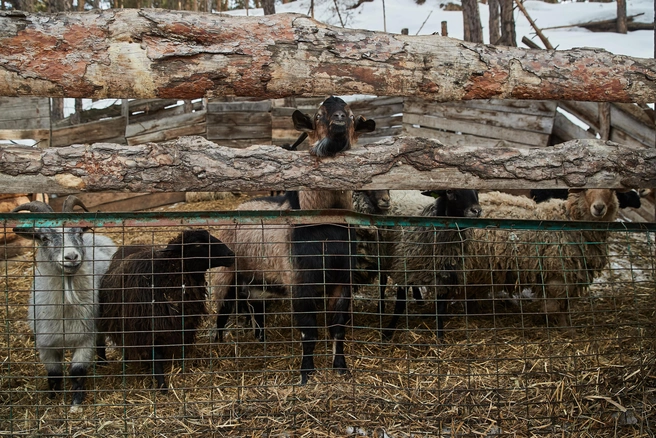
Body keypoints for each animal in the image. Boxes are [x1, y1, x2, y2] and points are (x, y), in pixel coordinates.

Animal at [12, 196, 117, 407]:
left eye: (78, 232)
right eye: (44, 238)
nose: (71, 256)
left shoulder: (85, 338)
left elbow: (77, 372)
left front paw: (76, 402)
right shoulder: (45, 344)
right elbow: (54, 374)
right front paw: (53, 397)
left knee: (101, 340)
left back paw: (102, 362)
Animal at [98, 229, 234, 391]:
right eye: (197, 244)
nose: (231, 254)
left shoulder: (183, 324)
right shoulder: (151, 328)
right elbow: (156, 357)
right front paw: (162, 385)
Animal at [212, 96, 375, 384]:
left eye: (351, 116)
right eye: (319, 115)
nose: (338, 120)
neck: (324, 227)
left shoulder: (342, 280)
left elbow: (338, 326)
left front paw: (341, 368)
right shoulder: (300, 283)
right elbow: (308, 331)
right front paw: (306, 374)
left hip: (257, 277)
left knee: (255, 306)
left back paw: (260, 338)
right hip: (226, 273)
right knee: (223, 309)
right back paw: (220, 343)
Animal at [382, 189, 482, 340]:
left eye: (476, 191)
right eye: (449, 192)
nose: (476, 210)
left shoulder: (443, 276)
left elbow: (440, 309)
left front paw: (440, 337)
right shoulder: (403, 269)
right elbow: (399, 305)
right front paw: (389, 331)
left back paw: (419, 300)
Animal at [465, 189, 620, 328]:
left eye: (612, 190)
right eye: (586, 190)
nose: (599, 208)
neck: (569, 220)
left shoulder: (572, 277)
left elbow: (565, 305)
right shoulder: (557, 275)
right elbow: (556, 306)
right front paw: (564, 328)